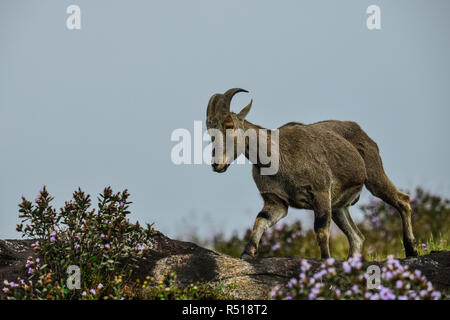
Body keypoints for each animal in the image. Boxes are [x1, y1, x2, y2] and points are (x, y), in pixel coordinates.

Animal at [207, 87, 418, 260]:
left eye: (229, 126)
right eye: (210, 132)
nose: (216, 164)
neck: (276, 156)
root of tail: (363, 133)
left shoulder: (320, 192)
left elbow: (321, 231)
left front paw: (325, 260)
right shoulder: (276, 202)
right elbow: (261, 220)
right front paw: (247, 253)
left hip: (374, 177)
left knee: (403, 201)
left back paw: (411, 250)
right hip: (339, 207)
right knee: (357, 236)